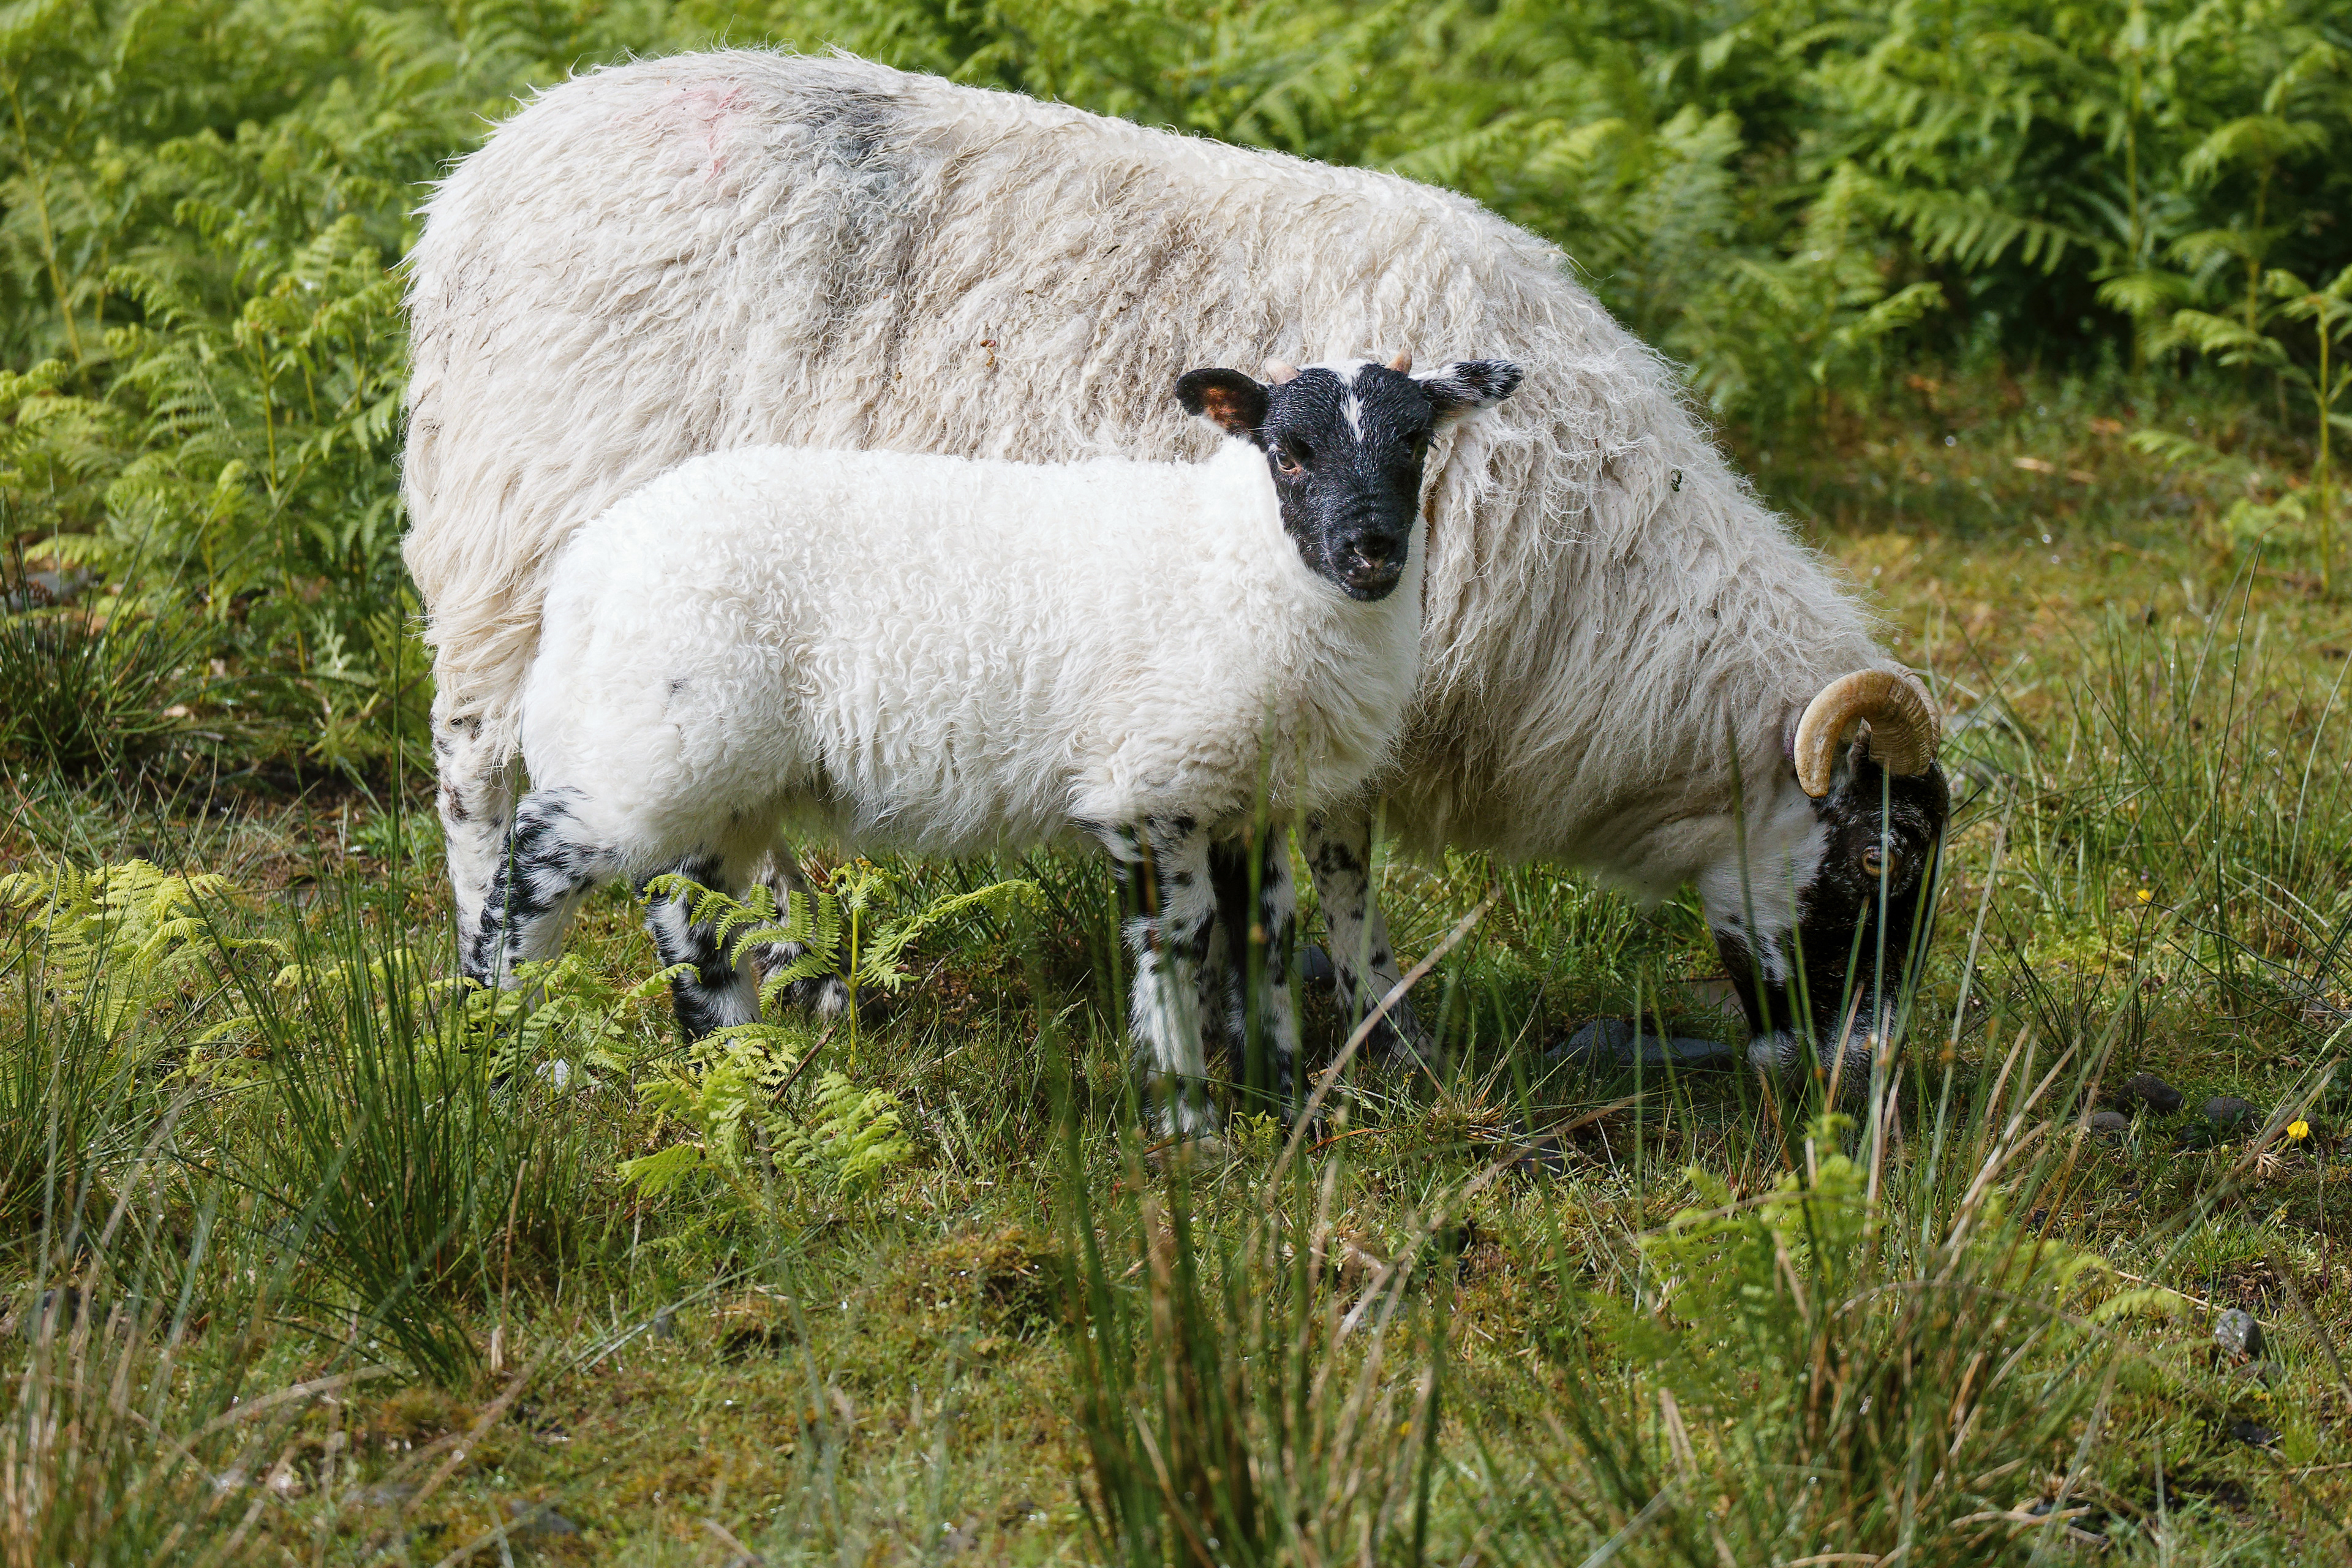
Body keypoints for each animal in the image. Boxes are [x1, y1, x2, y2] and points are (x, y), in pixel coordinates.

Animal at [471, 355, 1522, 1132]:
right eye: (1290, 452)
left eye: (1417, 442)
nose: (1371, 549)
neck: (1245, 560)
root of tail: (592, 564)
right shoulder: (1150, 785)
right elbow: (1178, 945)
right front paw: (1188, 1122)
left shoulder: (1244, 799)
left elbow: (1263, 939)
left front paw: (1285, 1102)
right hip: (667, 738)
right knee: (539, 855)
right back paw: (501, 1039)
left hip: (722, 769)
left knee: (693, 911)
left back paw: (740, 1060)